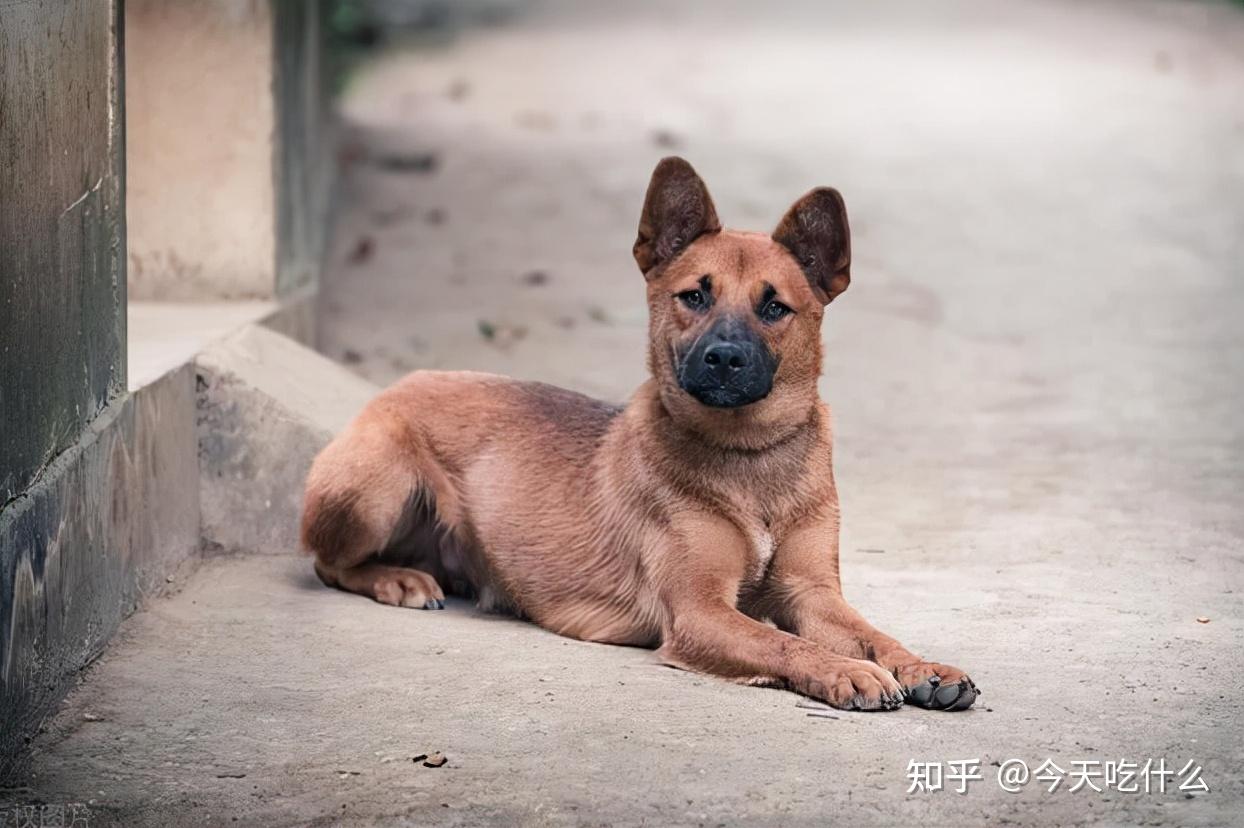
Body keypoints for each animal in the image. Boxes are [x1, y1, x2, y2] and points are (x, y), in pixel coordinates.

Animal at [303, 156, 980, 711]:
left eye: (774, 308)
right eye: (694, 297)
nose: (725, 358)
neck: (748, 456)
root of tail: (394, 387)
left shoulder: (813, 595)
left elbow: (873, 633)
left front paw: (921, 665)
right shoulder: (700, 612)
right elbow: (782, 644)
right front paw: (846, 672)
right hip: (376, 486)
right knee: (326, 564)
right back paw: (398, 579)